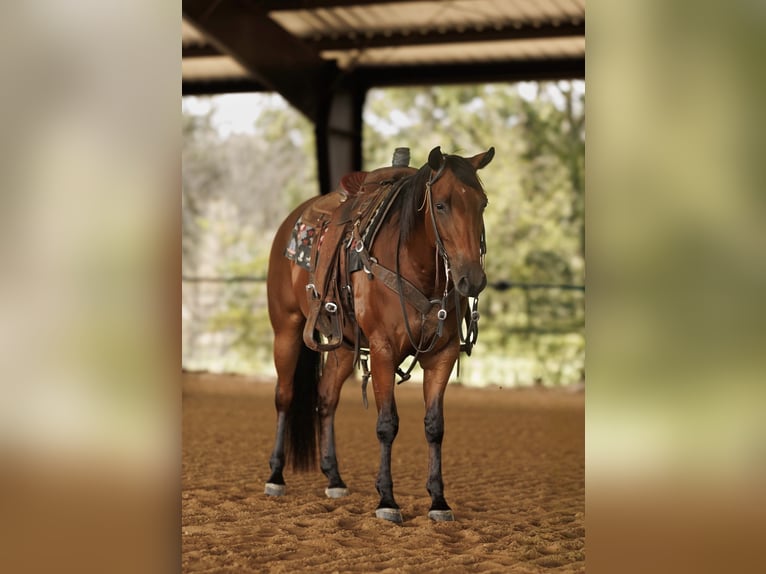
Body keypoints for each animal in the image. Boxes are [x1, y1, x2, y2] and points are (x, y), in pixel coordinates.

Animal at [264, 146, 495, 523]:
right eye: (441, 205)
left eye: (483, 203)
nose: (471, 279)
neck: (418, 267)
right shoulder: (383, 350)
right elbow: (387, 424)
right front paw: (386, 500)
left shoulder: (443, 354)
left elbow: (435, 426)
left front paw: (438, 501)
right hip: (286, 328)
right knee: (284, 396)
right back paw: (275, 476)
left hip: (343, 347)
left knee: (326, 398)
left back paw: (335, 478)